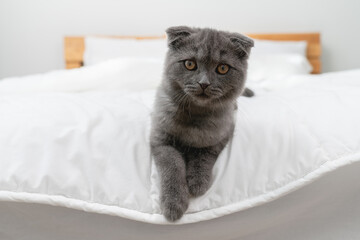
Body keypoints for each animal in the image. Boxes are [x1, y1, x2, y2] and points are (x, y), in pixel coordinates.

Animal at [149, 26, 253, 221]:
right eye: (190, 64)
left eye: (222, 68)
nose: (204, 83)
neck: (196, 115)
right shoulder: (160, 138)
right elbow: (172, 164)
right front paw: (174, 204)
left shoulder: (223, 132)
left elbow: (204, 154)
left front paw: (198, 182)